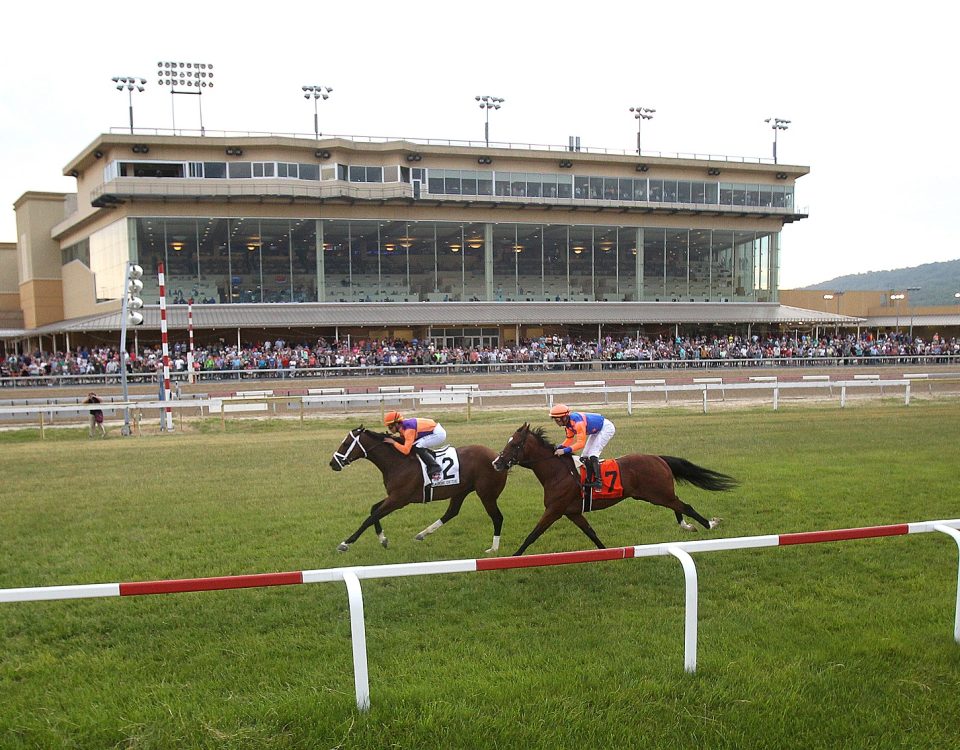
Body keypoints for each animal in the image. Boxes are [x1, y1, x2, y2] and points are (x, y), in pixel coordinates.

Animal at [330, 426, 510, 556]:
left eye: (345, 444)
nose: (333, 463)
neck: (398, 462)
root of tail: (498, 459)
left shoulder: (398, 500)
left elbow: (370, 518)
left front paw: (345, 544)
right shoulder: (394, 496)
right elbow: (373, 509)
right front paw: (383, 539)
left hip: (486, 494)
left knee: (497, 517)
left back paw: (493, 549)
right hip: (461, 490)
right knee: (451, 512)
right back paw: (422, 534)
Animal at [492, 426, 740, 556]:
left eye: (514, 444)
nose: (496, 462)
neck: (558, 472)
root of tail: (658, 457)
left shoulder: (554, 510)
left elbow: (533, 534)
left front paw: (513, 558)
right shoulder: (572, 512)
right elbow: (591, 533)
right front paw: (604, 552)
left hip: (658, 494)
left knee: (685, 506)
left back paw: (709, 524)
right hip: (658, 495)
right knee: (678, 506)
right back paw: (687, 526)